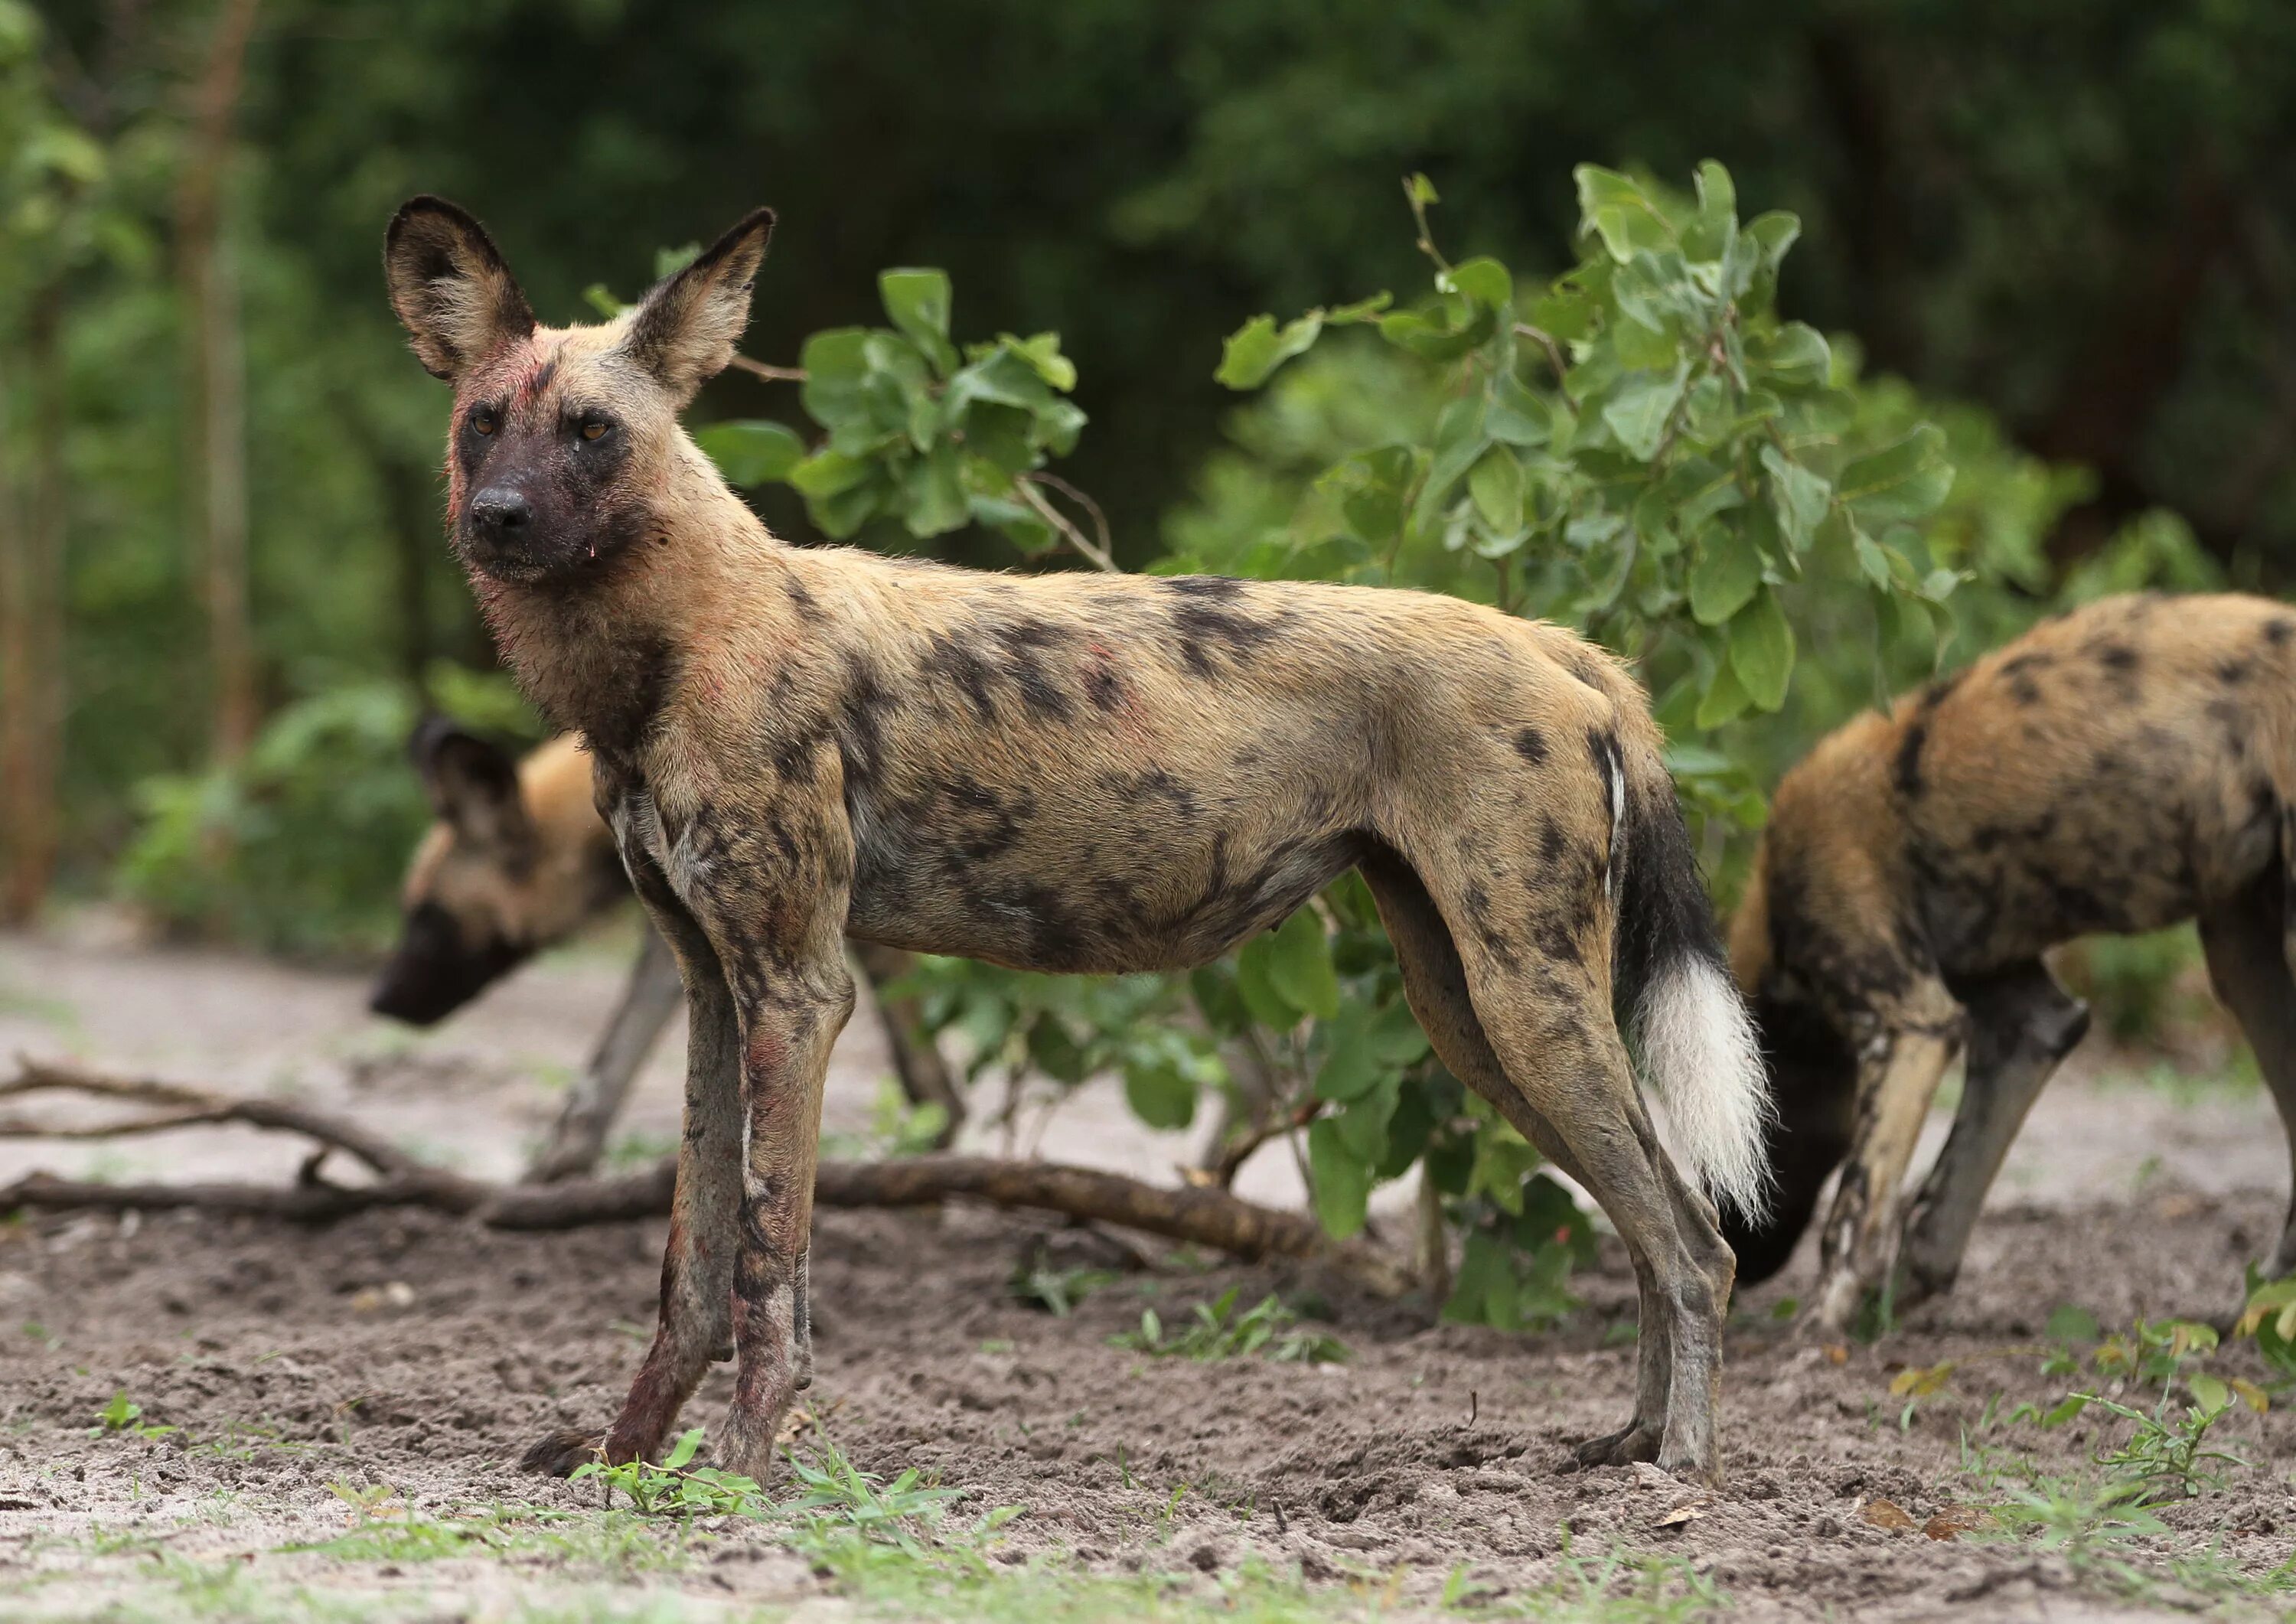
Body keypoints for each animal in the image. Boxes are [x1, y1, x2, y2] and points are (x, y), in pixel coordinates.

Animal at [370, 726, 960, 1185]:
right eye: (407, 909)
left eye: (429, 923)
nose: (379, 1001)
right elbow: (609, 1062)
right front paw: (558, 1165)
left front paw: (938, 1135)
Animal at [1727, 592, 2296, 1332]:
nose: (1740, 1268)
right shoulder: (2022, 1023)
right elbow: (1935, 1213)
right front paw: (1893, 1308)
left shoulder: (1910, 1026)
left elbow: (1852, 1215)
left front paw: (1817, 1335)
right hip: (2241, 951)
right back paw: (2255, 1313)